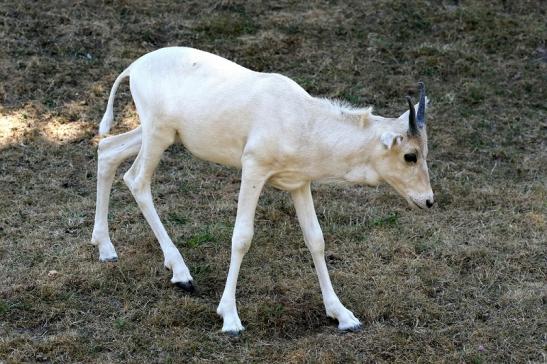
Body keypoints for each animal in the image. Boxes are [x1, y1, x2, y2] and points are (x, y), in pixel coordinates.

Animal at [93, 47, 436, 334]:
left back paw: (106, 248)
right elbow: (242, 237)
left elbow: (316, 239)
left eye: (425, 151)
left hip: (160, 134)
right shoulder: (253, 169)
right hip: (158, 134)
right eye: (410, 155)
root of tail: (135, 67)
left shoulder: (299, 183)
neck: (303, 120)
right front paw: (230, 318)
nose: (428, 200)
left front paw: (343, 315)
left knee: (108, 150)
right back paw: (181, 273)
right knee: (136, 179)